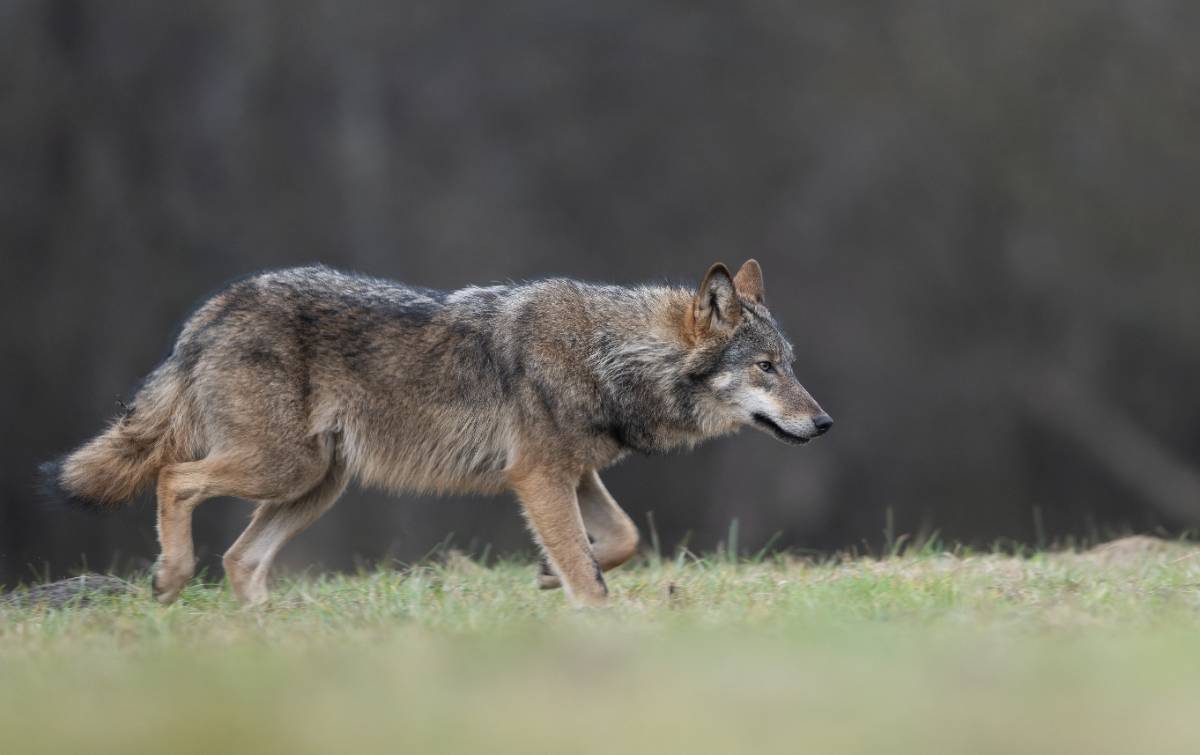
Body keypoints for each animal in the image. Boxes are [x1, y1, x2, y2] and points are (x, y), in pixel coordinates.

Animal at [40, 260, 832, 607]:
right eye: (766, 368)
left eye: (790, 364)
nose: (824, 422)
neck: (611, 354)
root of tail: (212, 309)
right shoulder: (538, 476)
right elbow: (591, 569)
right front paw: (588, 603)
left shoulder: (573, 474)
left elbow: (621, 538)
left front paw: (548, 574)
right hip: (282, 469)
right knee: (174, 479)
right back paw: (171, 577)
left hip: (315, 486)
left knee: (240, 557)